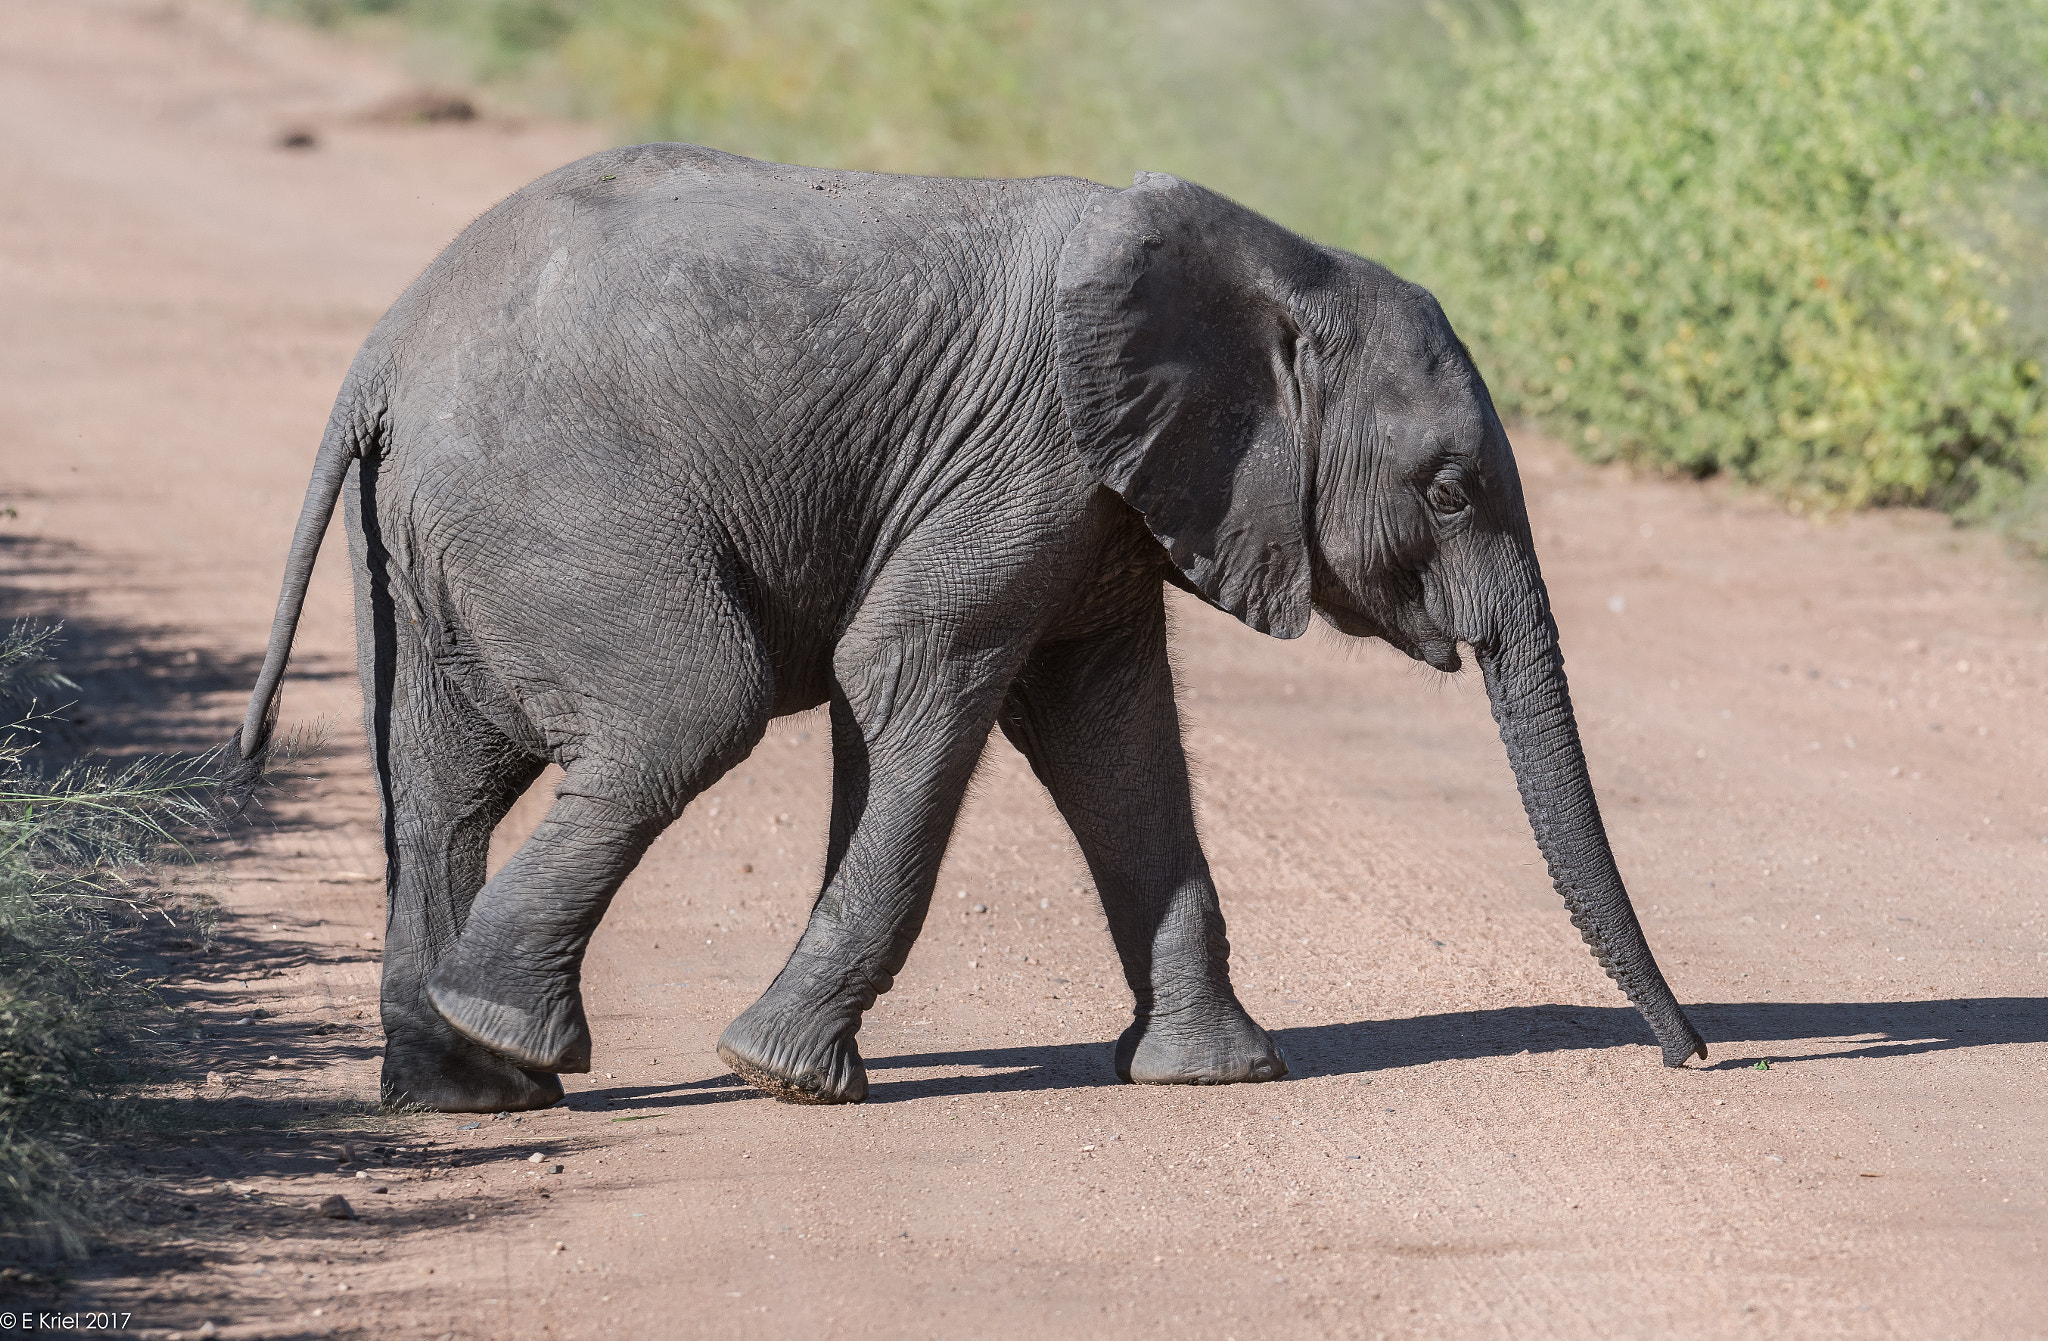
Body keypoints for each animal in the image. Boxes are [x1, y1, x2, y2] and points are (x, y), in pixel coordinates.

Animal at [232, 144, 1703, 1113]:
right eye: (1448, 488)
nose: (1695, 1057)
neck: (1271, 265)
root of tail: (385, 353)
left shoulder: (1106, 501)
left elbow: (1114, 736)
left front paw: (1214, 1076)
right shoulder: (1028, 456)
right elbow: (910, 675)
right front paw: (783, 1075)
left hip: (437, 548)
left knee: (442, 779)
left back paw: (467, 1091)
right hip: (561, 504)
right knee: (683, 709)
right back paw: (514, 1040)